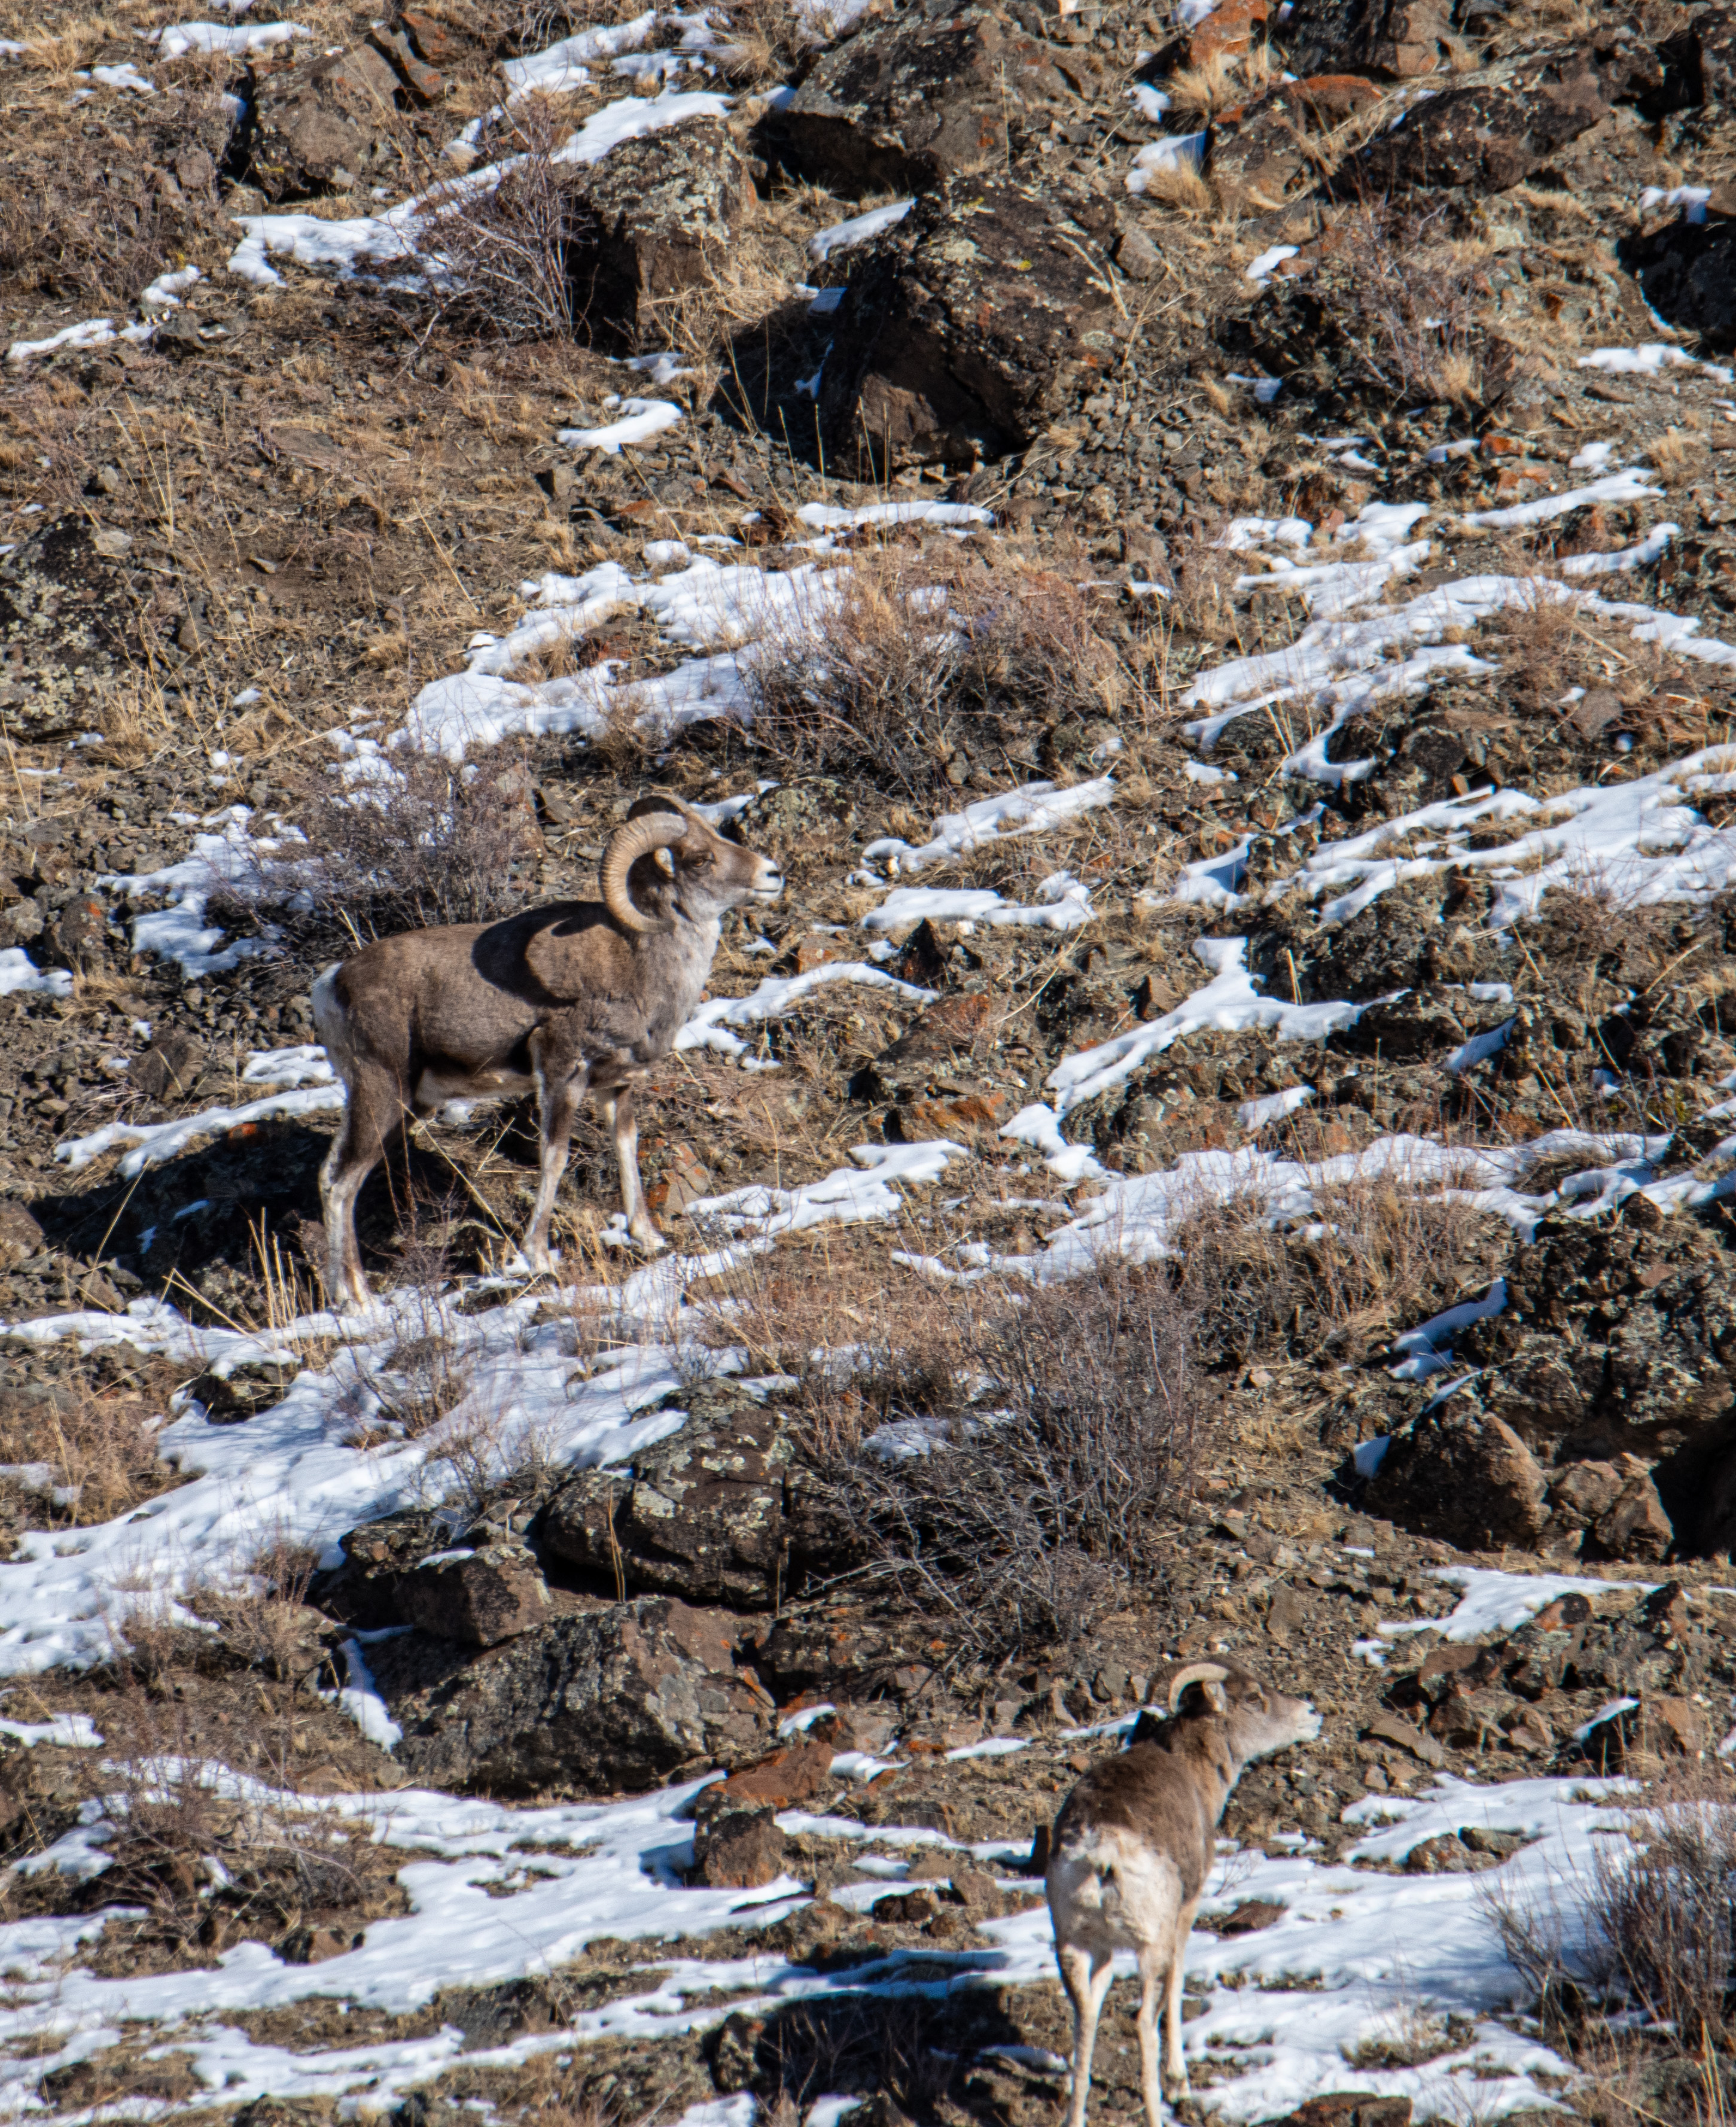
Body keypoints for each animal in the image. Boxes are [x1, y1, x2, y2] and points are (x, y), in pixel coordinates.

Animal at [310, 792, 783, 1309]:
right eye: (700, 858)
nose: (773, 874)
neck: (639, 963)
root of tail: (333, 983)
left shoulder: (618, 1086)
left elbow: (627, 1148)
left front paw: (647, 1237)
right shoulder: (561, 1074)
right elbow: (554, 1157)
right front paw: (537, 1257)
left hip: (400, 1105)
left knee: (336, 1177)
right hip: (383, 1092)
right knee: (340, 1183)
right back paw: (354, 1298)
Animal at [1046, 1660, 1321, 2127]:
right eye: (1254, 1698)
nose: (1310, 1713)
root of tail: (1102, 1854)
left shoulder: (1103, 1951)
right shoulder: (1186, 1911)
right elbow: (1177, 1983)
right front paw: (1181, 2082)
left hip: (1074, 1946)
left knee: (1084, 2017)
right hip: (1148, 1947)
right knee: (1144, 2019)